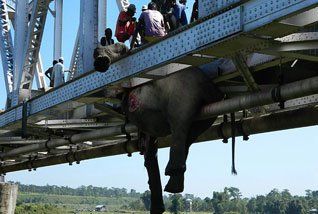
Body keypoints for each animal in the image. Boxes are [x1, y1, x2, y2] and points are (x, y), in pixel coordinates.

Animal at [94, 42, 224, 213]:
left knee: (179, 125)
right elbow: (150, 150)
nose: (100, 60)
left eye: (116, 47)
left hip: (182, 94)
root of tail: (212, 88)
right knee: (189, 135)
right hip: (202, 112)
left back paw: (172, 179)